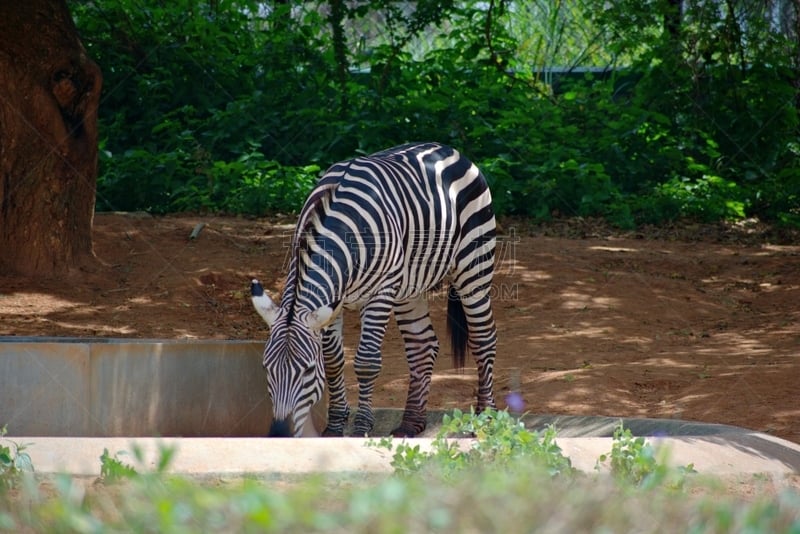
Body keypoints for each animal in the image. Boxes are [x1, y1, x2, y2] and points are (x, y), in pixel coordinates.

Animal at [253, 142, 496, 440]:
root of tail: (447, 149)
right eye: (265, 368)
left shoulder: (380, 292)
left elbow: (366, 361)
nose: (279, 434)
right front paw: (335, 425)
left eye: (308, 370)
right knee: (422, 344)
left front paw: (361, 427)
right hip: (409, 287)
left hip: (474, 267)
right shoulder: (333, 304)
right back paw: (411, 424)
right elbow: (333, 361)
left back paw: (486, 416)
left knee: (483, 338)